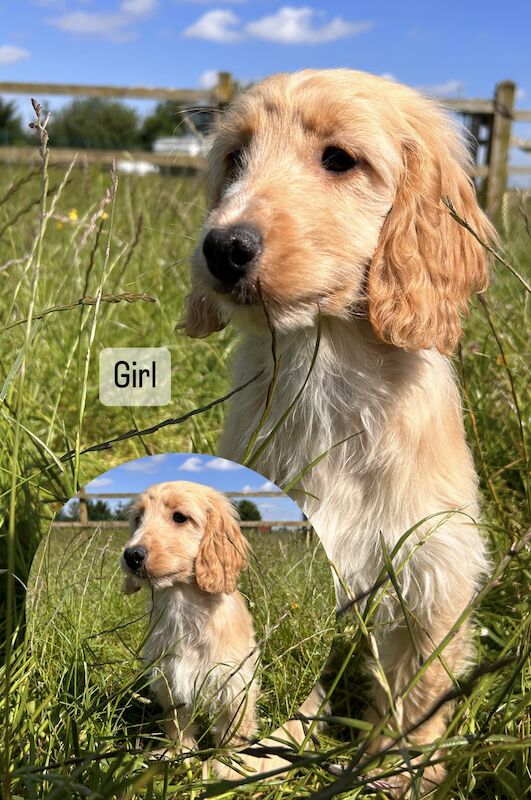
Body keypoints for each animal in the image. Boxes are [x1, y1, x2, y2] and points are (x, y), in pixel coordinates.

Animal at [122, 482, 260, 756]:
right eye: (138, 518)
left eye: (180, 517)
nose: (131, 556)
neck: (182, 600)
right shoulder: (172, 681)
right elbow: (179, 724)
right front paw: (178, 754)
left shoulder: (235, 684)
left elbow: (233, 731)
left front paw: (228, 762)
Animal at [184, 69, 498, 792]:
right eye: (234, 160)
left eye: (339, 160)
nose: (222, 247)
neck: (326, 365)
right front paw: (260, 757)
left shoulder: (431, 568)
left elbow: (415, 693)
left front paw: (397, 774)